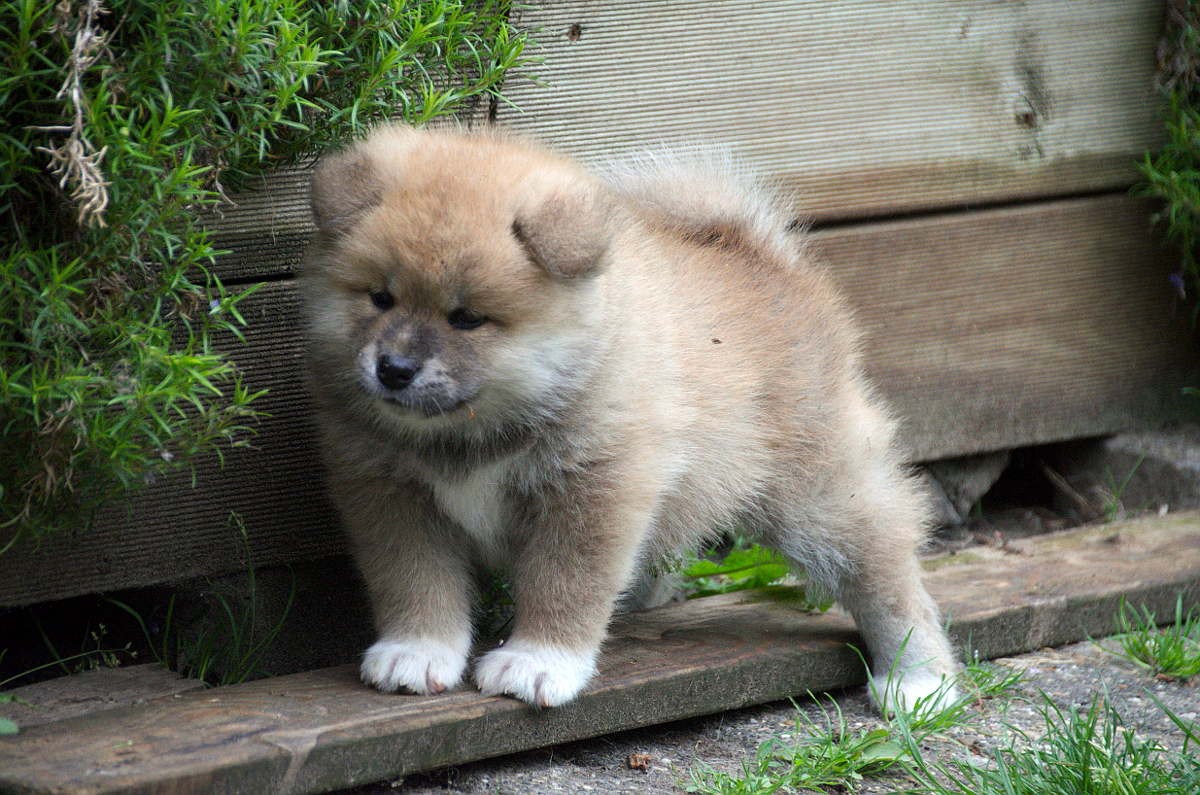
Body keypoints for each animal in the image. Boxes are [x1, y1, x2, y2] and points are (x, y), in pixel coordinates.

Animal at [300, 124, 959, 711]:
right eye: (379, 298)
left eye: (467, 318)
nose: (393, 368)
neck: (473, 434)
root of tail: (760, 254)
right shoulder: (389, 492)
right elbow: (414, 579)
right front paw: (417, 652)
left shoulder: (595, 489)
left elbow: (566, 584)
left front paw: (540, 662)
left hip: (816, 497)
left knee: (886, 572)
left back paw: (920, 681)